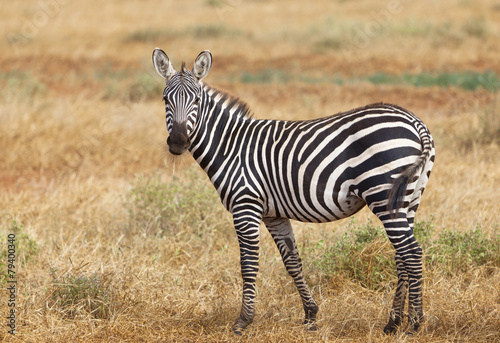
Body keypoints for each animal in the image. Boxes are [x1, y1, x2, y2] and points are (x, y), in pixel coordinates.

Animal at [151, 49, 434, 336]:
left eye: (197, 100)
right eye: (165, 99)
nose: (178, 143)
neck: (230, 146)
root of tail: (415, 122)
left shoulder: (245, 205)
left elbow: (248, 264)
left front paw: (243, 320)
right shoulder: (273, 214)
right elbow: (292, 261)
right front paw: (310, 315)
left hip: (383, 193)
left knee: (412, 254)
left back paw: (414, 323)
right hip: (408, 198)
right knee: (401, 256)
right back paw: (393, 322)